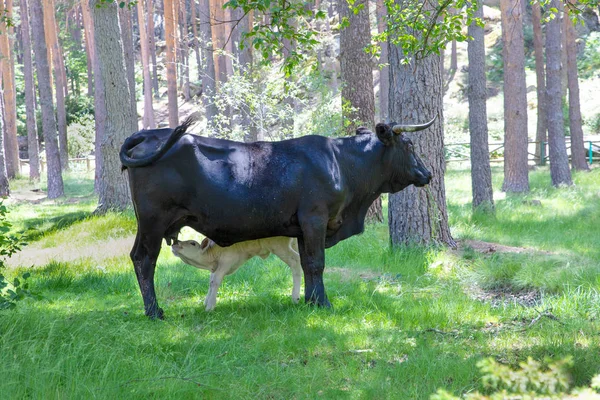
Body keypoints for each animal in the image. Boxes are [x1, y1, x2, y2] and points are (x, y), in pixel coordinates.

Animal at [171, 236, 302, 310]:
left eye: (192, 243)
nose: (175, 243)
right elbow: (211, 281)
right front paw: (206, 301)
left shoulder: (226, 262)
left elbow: (215, 281)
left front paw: (210, 306)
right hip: (294, 242)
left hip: (279, 245)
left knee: (296, 261)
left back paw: (295, 298)